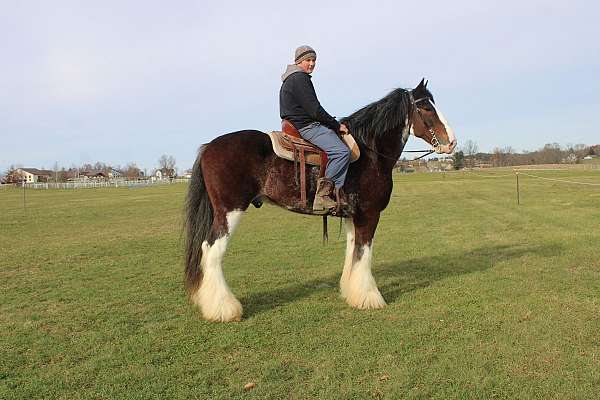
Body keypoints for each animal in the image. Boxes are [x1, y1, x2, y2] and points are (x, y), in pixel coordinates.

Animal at [183, 78, 454, 322]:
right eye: (426, 108)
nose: (451, 141)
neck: (371, 152)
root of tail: (209, 147)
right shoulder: (369, 215)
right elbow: (364, 254)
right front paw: (370, 298)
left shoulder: (352, 216)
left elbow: (353, 253)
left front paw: (352, 293)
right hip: (230, 211)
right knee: (211, 251)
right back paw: (223, 309)